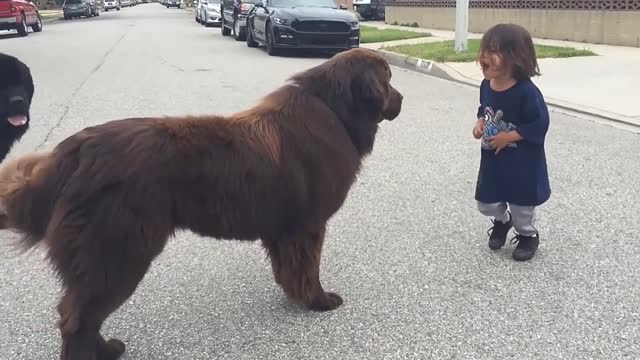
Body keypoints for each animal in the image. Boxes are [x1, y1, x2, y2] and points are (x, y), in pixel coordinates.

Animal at [0, 48, 400, 360]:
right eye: (390, 78)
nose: (401, 100)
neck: (335, 111)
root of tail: (75, 151)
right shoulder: (309, 224)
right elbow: (309, 268)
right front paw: (319, 301)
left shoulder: (284, 230)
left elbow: (289, 269)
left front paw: (294, 295)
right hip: (118, 250)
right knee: (77, 317)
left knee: (78, 312)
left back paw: (107, 349)